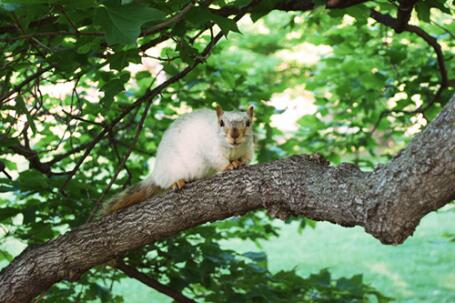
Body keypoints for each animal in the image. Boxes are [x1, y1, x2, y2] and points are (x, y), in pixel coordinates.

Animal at [100, 104, 255, 216]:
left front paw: (240, 162)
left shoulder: (248, 149)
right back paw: (177, 182)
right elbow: (220, 162)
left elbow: (245, 158)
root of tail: (157, 173)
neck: (234, 148)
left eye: (248, 123)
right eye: (221, 123)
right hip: (172, 169)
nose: (234, 136)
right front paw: (230, 165)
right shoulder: (212, 151)